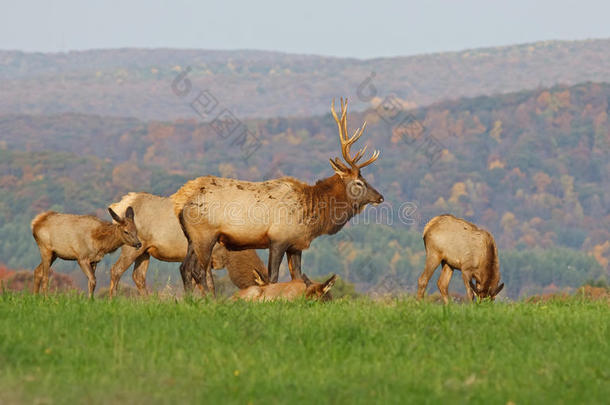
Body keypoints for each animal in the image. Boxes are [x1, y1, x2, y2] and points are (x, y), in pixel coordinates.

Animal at [105, 191, 266, 296]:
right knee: (116, 270)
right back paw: (113, 300)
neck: (228, 255)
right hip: (131, 245)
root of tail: (119, 205)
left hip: (144, 250)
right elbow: (208, 283)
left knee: (138, 276)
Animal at [171, 98, 380, 294]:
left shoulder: (296, 245)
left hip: (192, 238)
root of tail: (180, 201)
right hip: (205, 235)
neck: (312, 214)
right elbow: (272, 277)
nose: (380, 197)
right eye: (359, 182)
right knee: (197, 270)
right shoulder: (278, 238)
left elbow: (298, 277)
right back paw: (208, 299)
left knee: (184, 267)